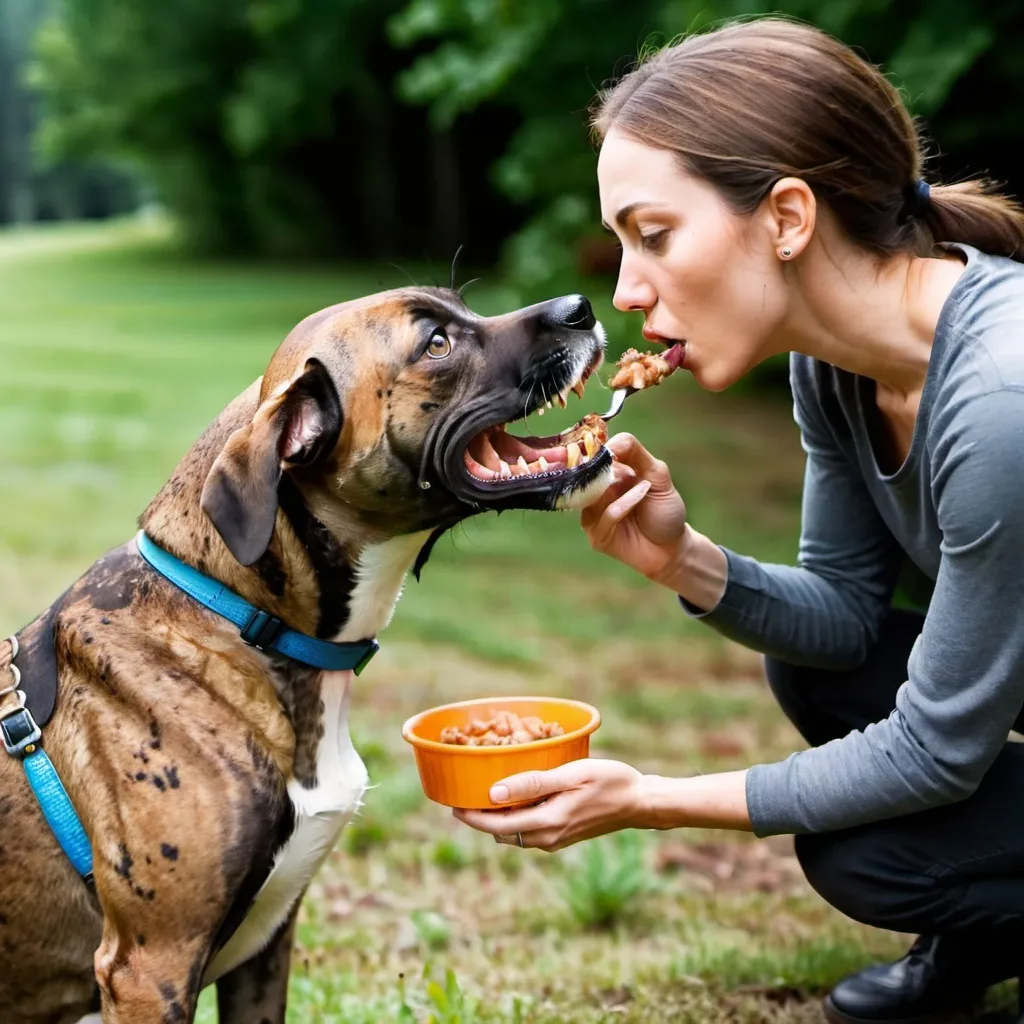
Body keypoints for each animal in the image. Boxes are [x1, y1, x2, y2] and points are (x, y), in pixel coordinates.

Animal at [0, 286, 610, 1024]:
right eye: (435, 343)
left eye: (460, 305)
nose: (581, 307)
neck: (240, 622)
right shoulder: (149, 968)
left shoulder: (266, 950)